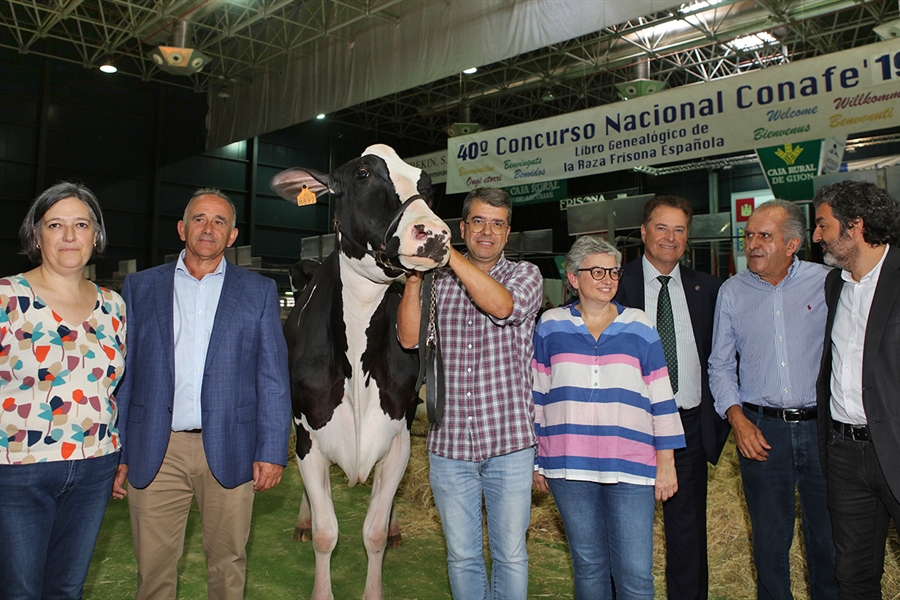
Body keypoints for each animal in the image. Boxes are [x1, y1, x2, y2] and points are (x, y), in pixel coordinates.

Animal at [268, 145, 450, 600]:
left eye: (426, 186)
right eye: (364, 173)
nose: (436, 234)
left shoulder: (398, 438)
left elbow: (373, 533)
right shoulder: (309, 438)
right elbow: (325, 533)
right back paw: (302, 519)